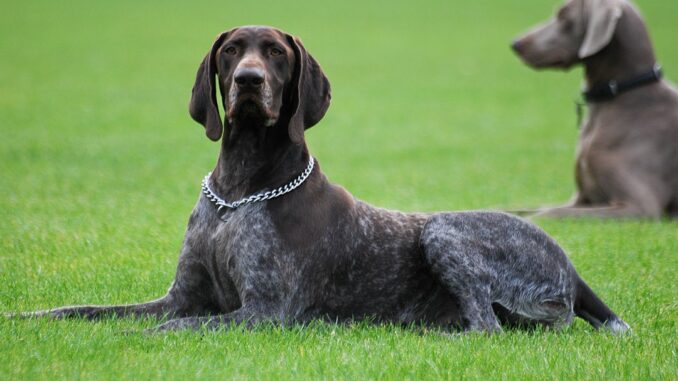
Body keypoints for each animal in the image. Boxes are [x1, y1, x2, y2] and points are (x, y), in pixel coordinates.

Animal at [14, 26, 632, 332]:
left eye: (276, 53)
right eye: (231, 51)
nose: (248, 80)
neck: (240, 191)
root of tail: (571, 266)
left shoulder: (263, 313)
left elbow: (174, 330)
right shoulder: (179, 297)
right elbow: (85, 310)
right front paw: (28, 318)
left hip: (444, 231)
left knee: (488, 327)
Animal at [516, 0, 678, 218]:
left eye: (563, 15)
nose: (516, 43)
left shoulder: (639, 206)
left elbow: (547, 213)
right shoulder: (581, 198)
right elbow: (523, 208)